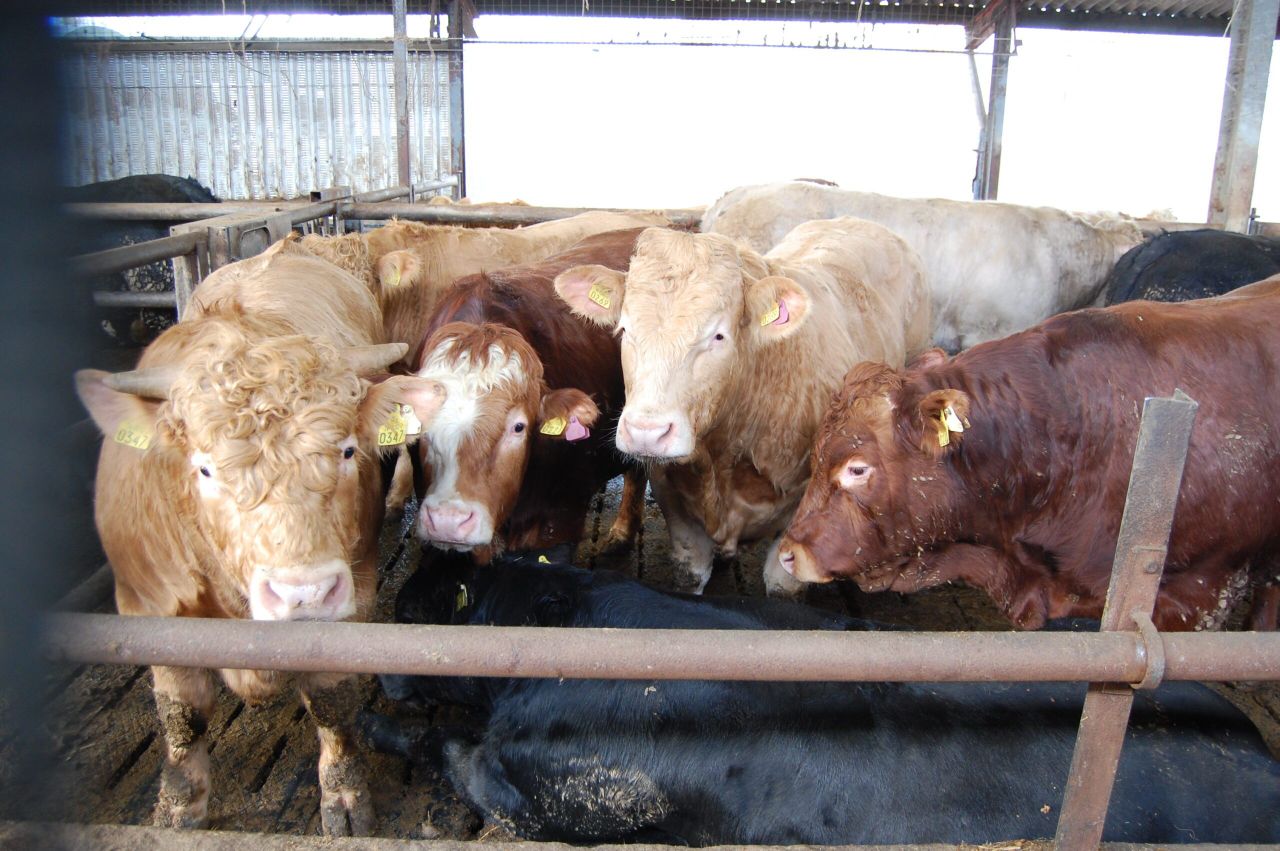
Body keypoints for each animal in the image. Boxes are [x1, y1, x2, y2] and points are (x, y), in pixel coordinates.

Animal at [73, 239, 447, 835]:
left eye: (347, 450)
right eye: (204, 469)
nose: (304, 593)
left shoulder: (352, 599)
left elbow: (333, 703)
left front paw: (344, 795)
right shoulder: (148, 609)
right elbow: (181, 719)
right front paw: (178, 807)